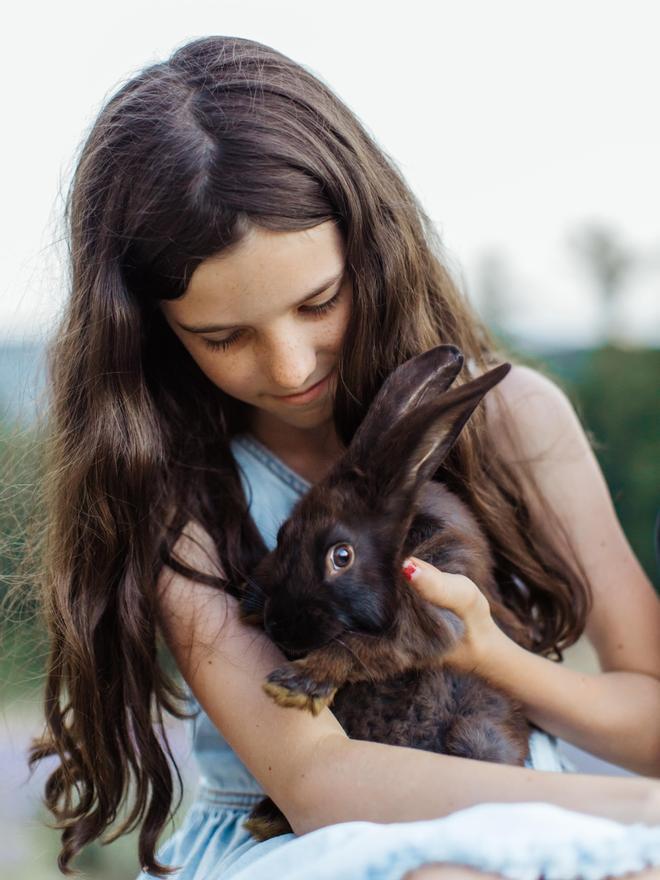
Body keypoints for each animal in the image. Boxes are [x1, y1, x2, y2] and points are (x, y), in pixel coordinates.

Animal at [237, 342, 532, 840]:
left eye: (341, 556)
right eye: (281, 536)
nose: (281, 628)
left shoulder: (432, 617)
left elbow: (359, 647)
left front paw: (296, 685)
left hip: (475, 736)